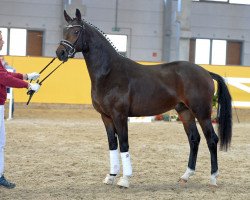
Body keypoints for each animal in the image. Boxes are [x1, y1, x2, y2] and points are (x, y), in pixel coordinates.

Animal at [55, 9, 231, 188]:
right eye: (65, 31)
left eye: (76, 31)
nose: (60, 53)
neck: (109, 72)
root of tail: (206, 72)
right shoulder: (106, 117)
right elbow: (112, 144)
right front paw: (111, 176)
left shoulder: (119, 115)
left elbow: (123, 144)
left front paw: (124, 179)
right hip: (185, 112)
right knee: (194, 139)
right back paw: (186, 176)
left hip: (202, 112)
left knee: (212, 139)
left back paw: (213, 177)